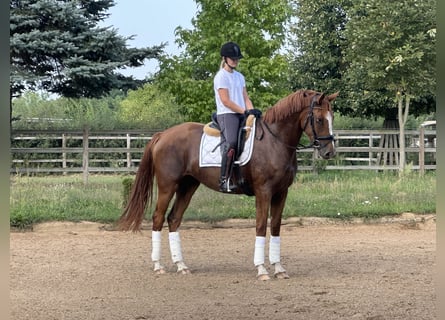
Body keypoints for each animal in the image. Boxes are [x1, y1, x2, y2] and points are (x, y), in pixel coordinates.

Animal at [118, 88, 336, 280]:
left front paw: (279, 268)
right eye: (319, 119)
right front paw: (261, 270)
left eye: (332, 117)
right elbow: (260, 226)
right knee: (158, 218)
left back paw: (181, 266)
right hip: (167, 185)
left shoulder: (281, 192)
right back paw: (158, 266)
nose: (329, 152)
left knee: (173, 218)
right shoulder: (263, 191)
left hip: (188, 185)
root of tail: (162, 135)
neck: (275, 141)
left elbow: (275, 226)